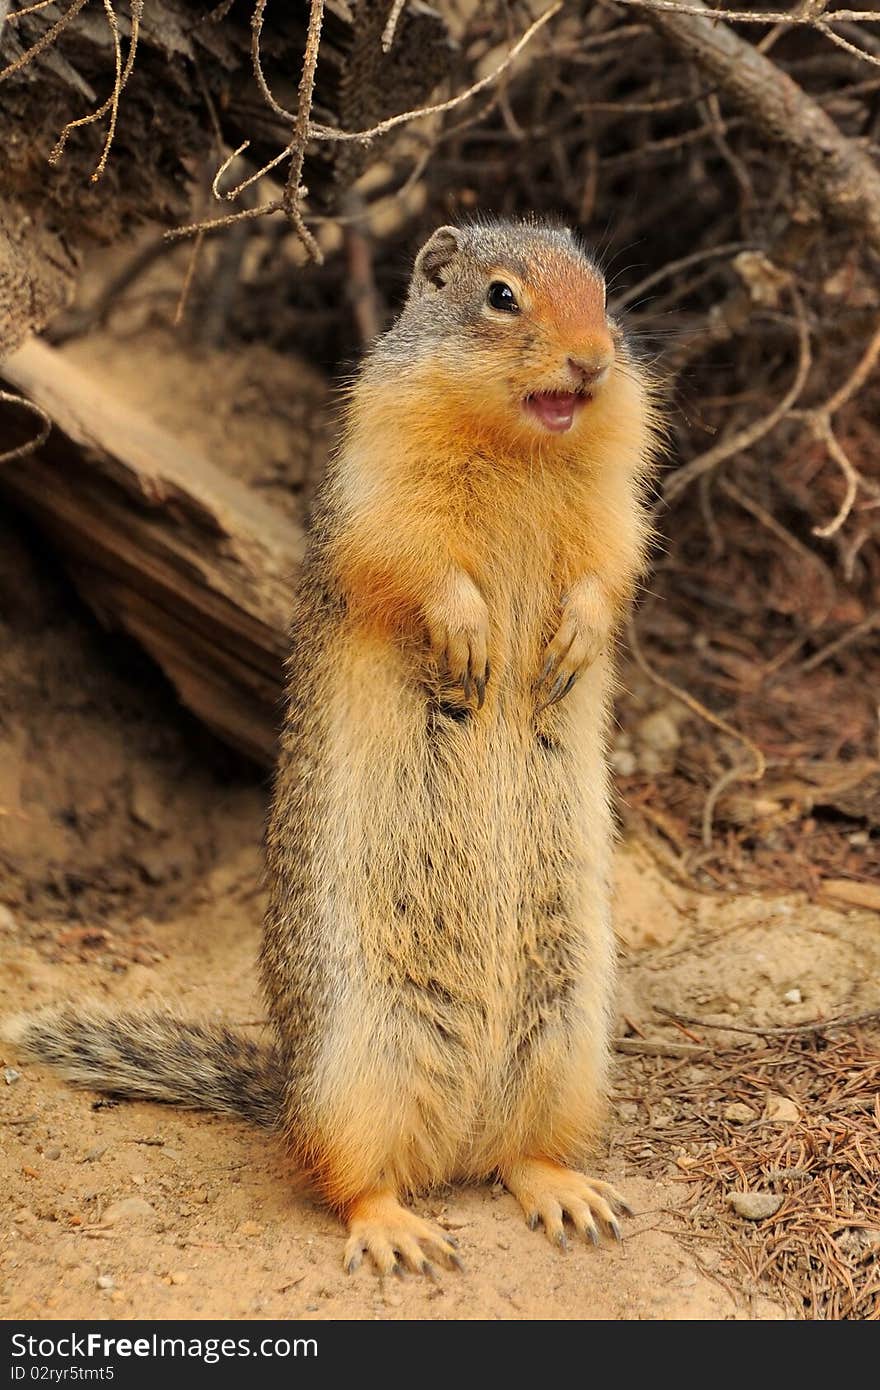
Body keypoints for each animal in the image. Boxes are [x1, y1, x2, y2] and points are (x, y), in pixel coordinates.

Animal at [1, 219, 658, 1278]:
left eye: (603, 292)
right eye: (501, 296)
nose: (594, 363)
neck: (522, 444)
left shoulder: (614, 499)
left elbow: (611, 563)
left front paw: (572, 642)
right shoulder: (380, 473)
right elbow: (412, 557)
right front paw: (468, 635)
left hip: (567, 1041)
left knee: (516, 1155)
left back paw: (564, 1191)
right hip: (364, 1062)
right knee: (344, 1177)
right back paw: (396, 1229)